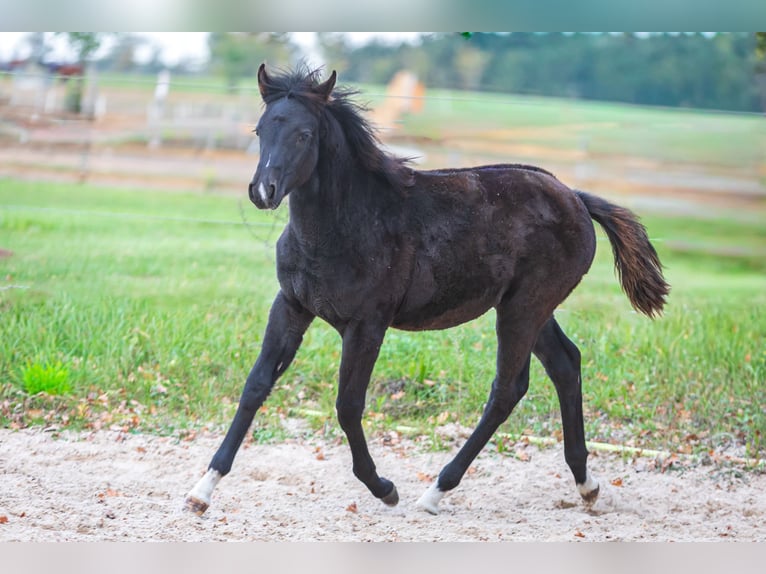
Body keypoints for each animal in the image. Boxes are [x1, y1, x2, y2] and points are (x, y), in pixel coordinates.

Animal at [185, 64, 669, 516]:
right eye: (261, 130)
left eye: (304, 135)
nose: (262, 191)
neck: (346, 225)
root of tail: (576, 198)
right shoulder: (290, 306)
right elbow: (256, 385)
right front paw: (202, 489)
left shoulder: (367, 325)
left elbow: (347, 405)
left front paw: (384, 488)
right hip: (530, 308)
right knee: (565, 365)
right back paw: (586, 485)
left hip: (524, 308)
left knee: (507, 388)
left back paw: (435, 491)